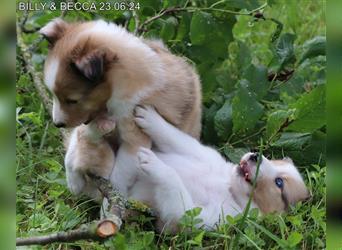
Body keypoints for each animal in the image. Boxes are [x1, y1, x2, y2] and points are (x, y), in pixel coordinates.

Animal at [40, 18, 202, 197]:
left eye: (72, 100)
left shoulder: (134, 139)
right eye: (53, 95)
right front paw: (73, 181)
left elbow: (118, 180)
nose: (57, 124)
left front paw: (110, 203)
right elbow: (76, 141)